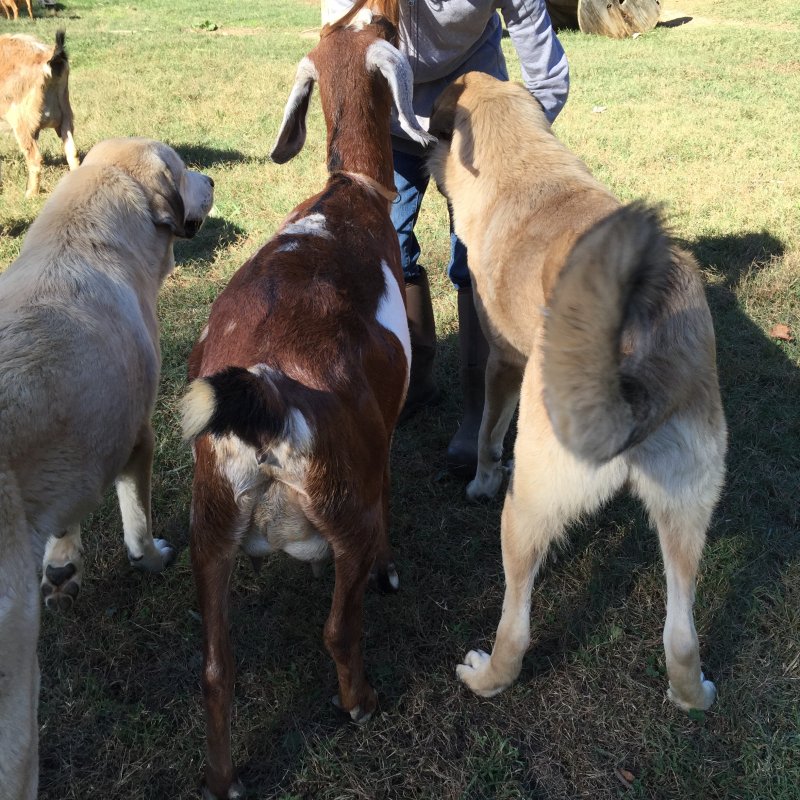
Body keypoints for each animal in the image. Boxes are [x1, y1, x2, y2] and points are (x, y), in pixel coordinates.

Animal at [0, 134, 214, 796]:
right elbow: (136, 526)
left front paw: (63, 565)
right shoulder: (136, 439)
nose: (212, 183)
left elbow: (65, 519)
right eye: (182, 171)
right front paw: (151, 559)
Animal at [180, 17, 434, 800]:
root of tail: (266, 401)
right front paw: (392, 570)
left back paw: (225, 778)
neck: (347, 193)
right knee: (338, 629)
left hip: (209, 524)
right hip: (344, 506)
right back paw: (362, 702)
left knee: (215, 669)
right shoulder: (380, 446)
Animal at [428, 72, 728, 712]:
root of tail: (639, 329)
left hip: (526, 510)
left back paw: (485, 676)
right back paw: (692, 695)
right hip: (689, 512)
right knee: (681, 637)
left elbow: (488, 434)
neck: (523, 163)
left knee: (517, 631)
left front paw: (479, 481)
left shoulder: (503, 362)